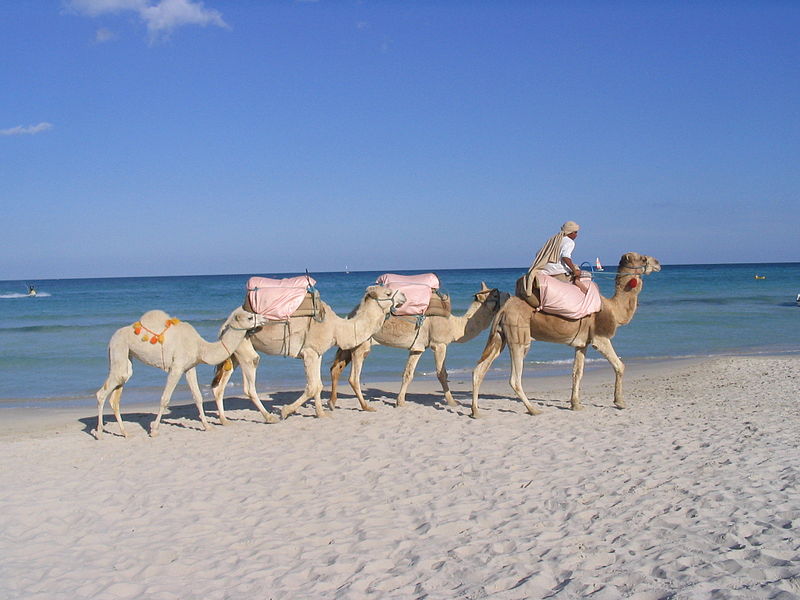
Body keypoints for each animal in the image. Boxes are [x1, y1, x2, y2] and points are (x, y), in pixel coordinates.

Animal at [93, 308, 262, 438]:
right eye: (249, 317)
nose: (263, 318)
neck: (201, 347)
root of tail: (112, 338)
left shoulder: (189, 368)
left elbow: (198, 396)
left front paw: (207, 426)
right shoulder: (177, 367)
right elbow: (165, 398)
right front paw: (154, 431)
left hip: (126, 358)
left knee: (116, 396)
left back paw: (125, 433)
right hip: (119, 349)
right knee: (102, 393)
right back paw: (99, 433)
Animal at [211, 286, 406, 422]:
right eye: (388, 292)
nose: (404, 296)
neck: (337, 327)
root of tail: (225, 324)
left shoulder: (317, 353)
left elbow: (318, 385)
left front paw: (321, 414)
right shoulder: (309, 353)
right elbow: (312, 386)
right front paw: (285, 411)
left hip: (234, 350)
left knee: (219, 387)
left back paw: (224, 420)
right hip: (244, 349)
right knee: (249, 384)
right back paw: (269, 417)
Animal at [330, 284, 506, 410]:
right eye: (495, 294)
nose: (507, 294)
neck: (455, 326)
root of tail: (352, 314)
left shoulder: (417, 348)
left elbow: (408, 374)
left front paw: (400, 402)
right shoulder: (439, 344)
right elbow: (442, 374)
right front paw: (452, 402)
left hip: (349, 344)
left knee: (335, 368)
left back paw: (332, 403)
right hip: (362, 345)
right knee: (353, 377)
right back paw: (365, 406)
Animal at [468, 252, 664, 418]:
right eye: (642, 258)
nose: (658, 262)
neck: (614, 309)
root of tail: (504, 308)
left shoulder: (582, 344)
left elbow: (577, 372)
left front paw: (575, 404)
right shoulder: (600, 338)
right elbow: (620, 366)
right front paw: (619, 402)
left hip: (500, 337)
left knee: (479, 370)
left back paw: (476, 412)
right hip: (518, 337)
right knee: (514, 378)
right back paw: (533, 409)